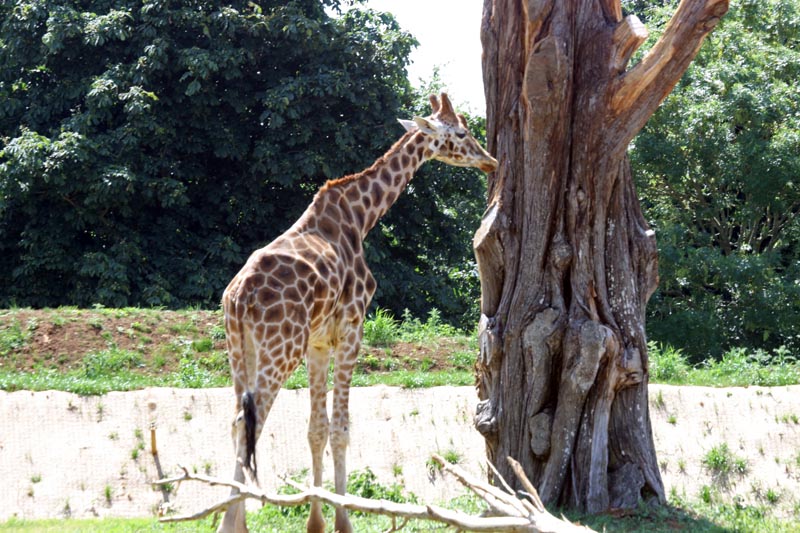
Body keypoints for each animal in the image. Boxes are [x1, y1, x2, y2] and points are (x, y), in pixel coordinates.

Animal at [217, 93, 497, 533]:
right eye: (461, 134)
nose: (491, 162)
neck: (361, 216)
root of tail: (239, 297)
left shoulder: (317, 343)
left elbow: (316, 429)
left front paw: (316, 522)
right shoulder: (352, 328)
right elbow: (341, 429)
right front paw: (343, 521)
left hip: (239, 349)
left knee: (237, 423)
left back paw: (236, 521)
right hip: (279, 350)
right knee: (251, 423)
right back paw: (230, 524)